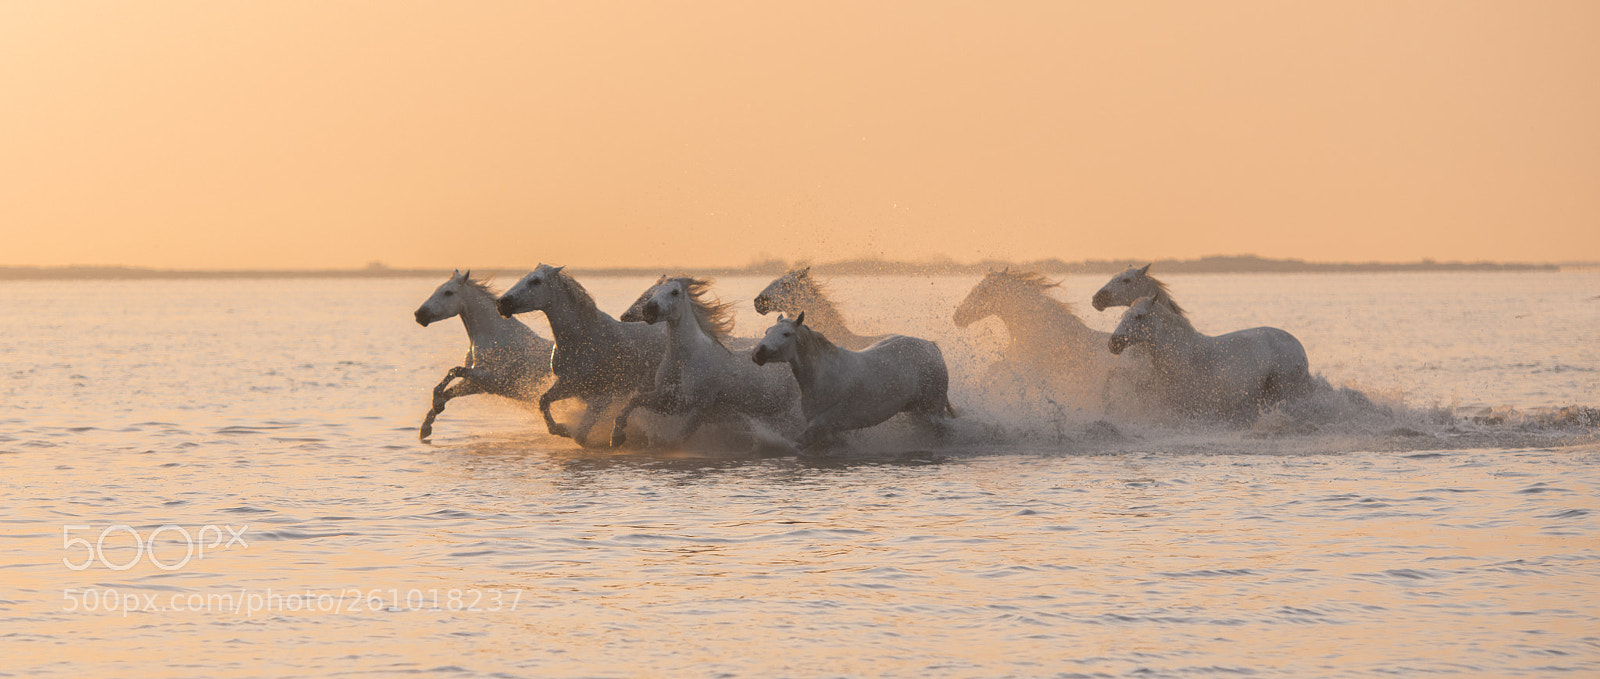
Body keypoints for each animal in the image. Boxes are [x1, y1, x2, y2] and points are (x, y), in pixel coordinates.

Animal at [413, 270, 554, 442]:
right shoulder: (477, 384)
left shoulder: (493, 379)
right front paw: (426, 426)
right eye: (437, 289)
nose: (419, 314)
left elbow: (454, 371)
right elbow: (449, 389)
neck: (495, 336)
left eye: (448, 292)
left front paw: (436, 406)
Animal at [496, 264, 666, 447]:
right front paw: (561, 429)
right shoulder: (569, 386)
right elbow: (543, 401)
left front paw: (614, 438)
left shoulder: (602, 397)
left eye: (535, 280)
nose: (502, 303)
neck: (582, 341)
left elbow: (580, 435)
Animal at [610, 277, 801, 448]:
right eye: (653, 292)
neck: (684, 360)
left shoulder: (699, 408)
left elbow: (676, 440)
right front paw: (616, 437)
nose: (649, 309)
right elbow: (634, 401)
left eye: (674, 292)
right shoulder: (668, 400)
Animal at [752, 312, 955, 450]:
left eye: (786, 334)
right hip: (917, 412)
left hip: (932, 411)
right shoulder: (832, 432)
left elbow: (796, 444)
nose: (758, 353)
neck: (823, 375)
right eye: (767, 331)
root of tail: (931, 347)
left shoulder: (821, 426)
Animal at [951, 269, 1114, 408]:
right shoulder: (1010, 364)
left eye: (984, 291)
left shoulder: (1024, 373)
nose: (957, 316)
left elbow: (997, 383)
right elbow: (990, 372)